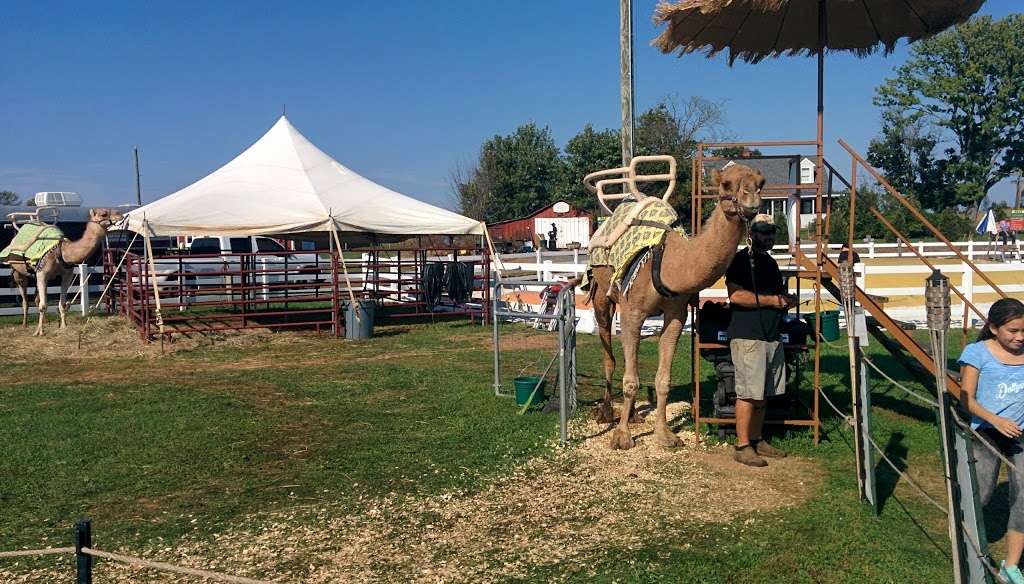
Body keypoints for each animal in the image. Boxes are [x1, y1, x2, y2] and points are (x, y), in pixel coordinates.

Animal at [6, 206, 124, 334]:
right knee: (26, 300)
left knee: (36, 299)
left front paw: (63, 326)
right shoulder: (42, 274)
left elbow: (62, 303)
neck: (63, 252)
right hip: (19, 272)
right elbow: (43, 305)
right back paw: (24, 324)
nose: (120, 214)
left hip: (36, 275)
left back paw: (45, 322)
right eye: (103, 214)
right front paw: (40, 332)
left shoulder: (66, 275)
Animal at [589, 164, 765, 450]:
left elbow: (663, 380)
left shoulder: (676, 314)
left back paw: (634, 415)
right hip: (603, 296)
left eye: (761, 183)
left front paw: (665, 435)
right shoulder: (632, 312)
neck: (671, 263)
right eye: (726, 184)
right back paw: (606, 413)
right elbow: (630, 381)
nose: (751, 202)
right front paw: (622, 436)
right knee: (609, 355)